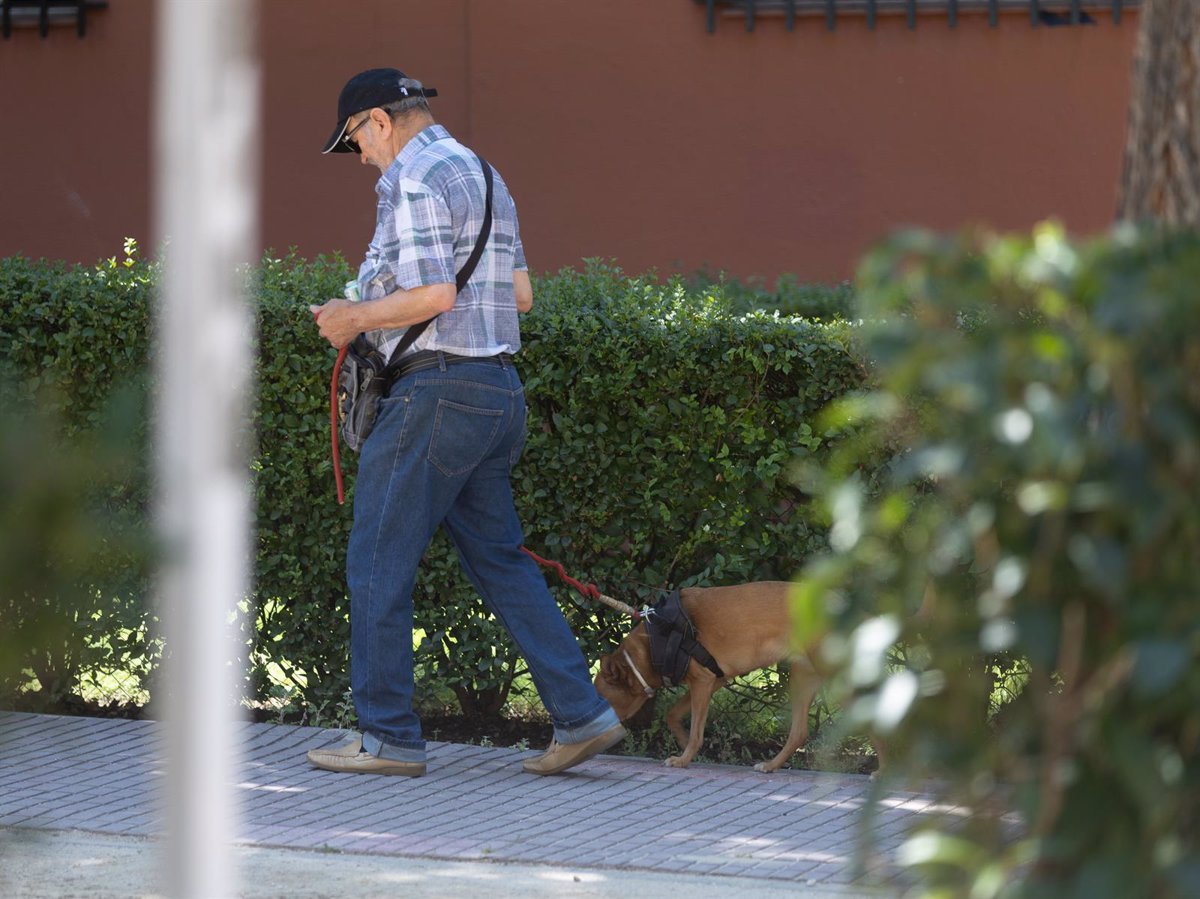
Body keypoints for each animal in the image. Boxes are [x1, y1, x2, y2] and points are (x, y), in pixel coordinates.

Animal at [595, 583, 878, 772]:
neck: (656, 639)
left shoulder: (702, 682)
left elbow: (695, 729)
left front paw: (684, 757)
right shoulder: (713, 680)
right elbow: (672, 715)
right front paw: (685, 745)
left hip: (835, 678)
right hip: (802, 677)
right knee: (799, 732)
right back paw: (771, 765)